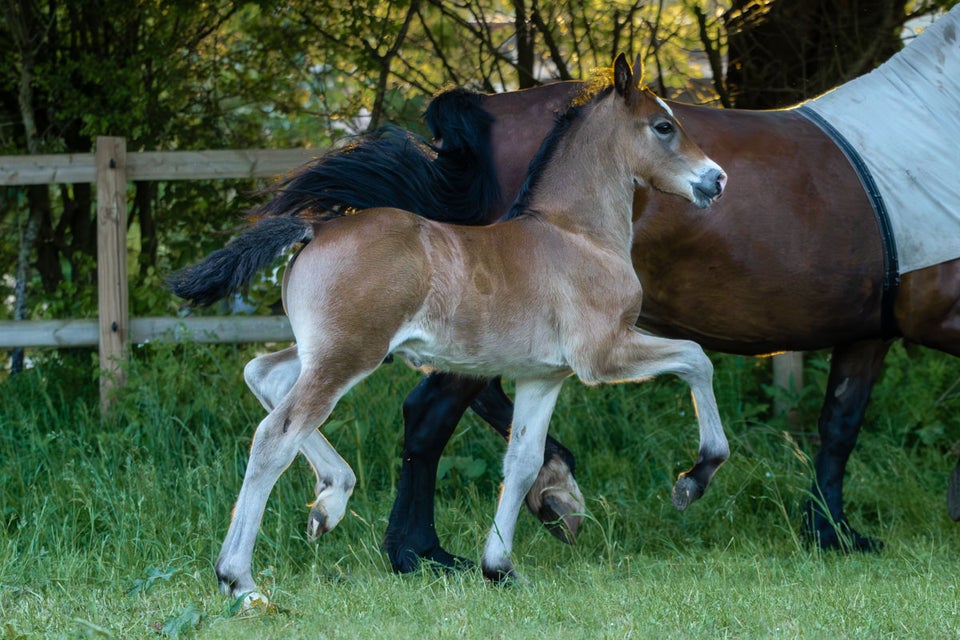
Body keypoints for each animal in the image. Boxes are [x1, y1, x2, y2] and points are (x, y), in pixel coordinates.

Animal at [172, 55, 728, 600]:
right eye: (663, 126)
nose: (716, 179)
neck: (576, 235)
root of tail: (317, 228)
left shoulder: (542, 375)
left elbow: (522, 462)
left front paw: (500, 568)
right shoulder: (603, 354)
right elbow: (697, 358)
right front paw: (695, 478)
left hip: (325, 350)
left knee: (262, 373)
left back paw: (329, 501)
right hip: (348, 355)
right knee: (275, 436)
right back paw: (240, 580)